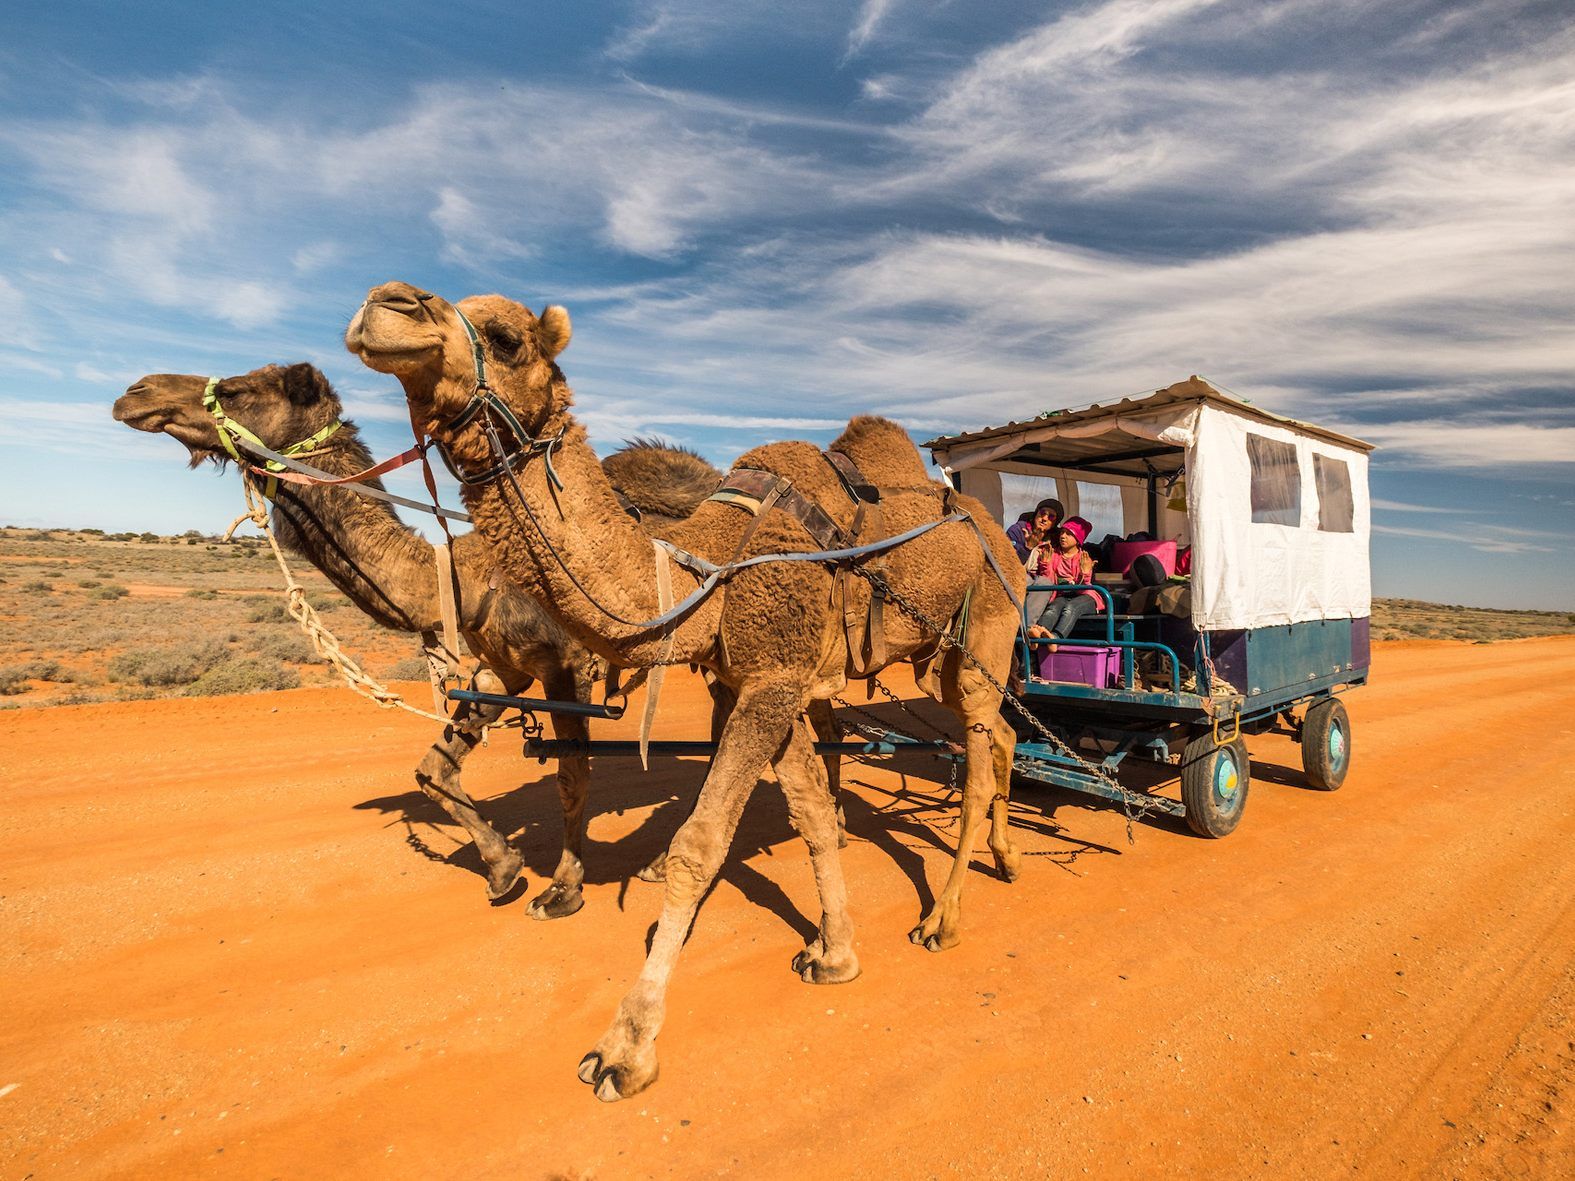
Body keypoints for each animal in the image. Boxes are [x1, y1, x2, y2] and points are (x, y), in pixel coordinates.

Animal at [114, 365, 727, 919]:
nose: (134, 392)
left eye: (238, 389)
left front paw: (562, 891)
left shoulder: (566, 668)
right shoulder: (500, 670)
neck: (466, 578)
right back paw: (660, 863)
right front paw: (502, 870)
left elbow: (571, 778)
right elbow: (435, 771)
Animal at [349, 285, 1026, 1102]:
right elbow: (810, 812)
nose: (384, 306)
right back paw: (1006, 858)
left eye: (506, 337)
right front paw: (834, 952)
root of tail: (1000, 531)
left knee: (980, 753)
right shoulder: (761, 680)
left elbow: (699, 845)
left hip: (987, 628)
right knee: (999, 738)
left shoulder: (772, 682)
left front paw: (626, 1045)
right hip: (937, 656)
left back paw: (943, 918)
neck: (706, 571)